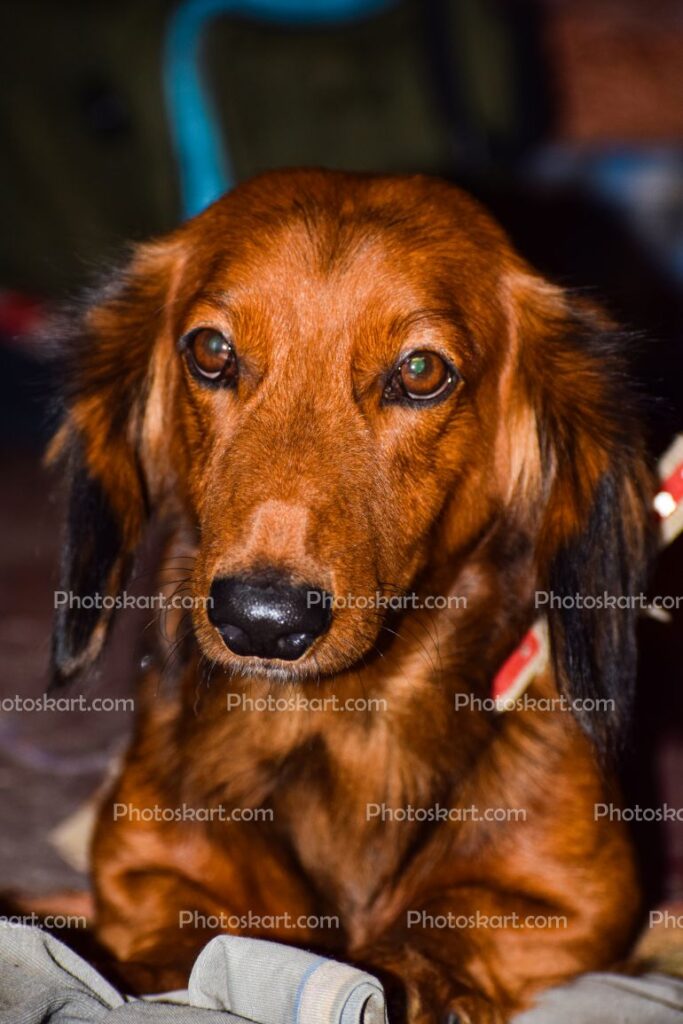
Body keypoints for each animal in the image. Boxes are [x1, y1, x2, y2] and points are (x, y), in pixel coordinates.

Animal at [50, 172, 655, 1019]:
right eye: (210, 351)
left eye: (421, 371)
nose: (260, 620)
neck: (336, 722)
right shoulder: (142, 871)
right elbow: (180, 939)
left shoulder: (579, 903)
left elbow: (447, 925)